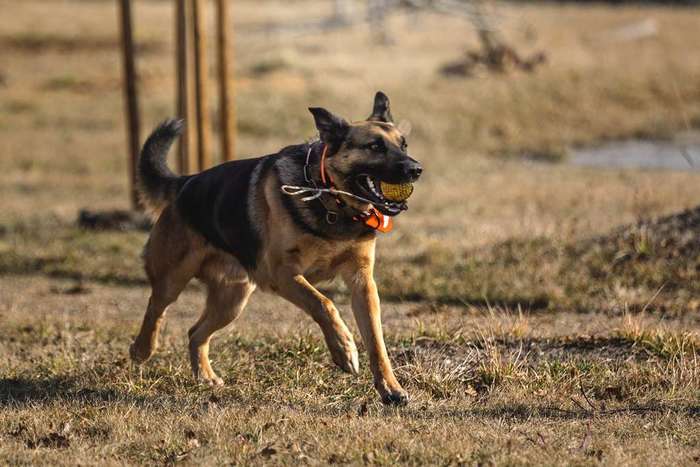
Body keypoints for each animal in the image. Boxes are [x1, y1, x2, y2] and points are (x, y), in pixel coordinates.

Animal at [129, 92, 422, 404]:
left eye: (403, 144)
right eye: (374, 146)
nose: (416, 169)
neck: (330, 198)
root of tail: (185, 182)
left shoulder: (363, 284)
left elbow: (376, 343)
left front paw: (390, 389)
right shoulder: (282, 275)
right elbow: (323, 303)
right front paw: (344, 349)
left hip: (233, 299)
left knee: (195, 333)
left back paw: (205, 376)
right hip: (174, 278)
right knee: (156, 307)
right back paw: (141, 349)